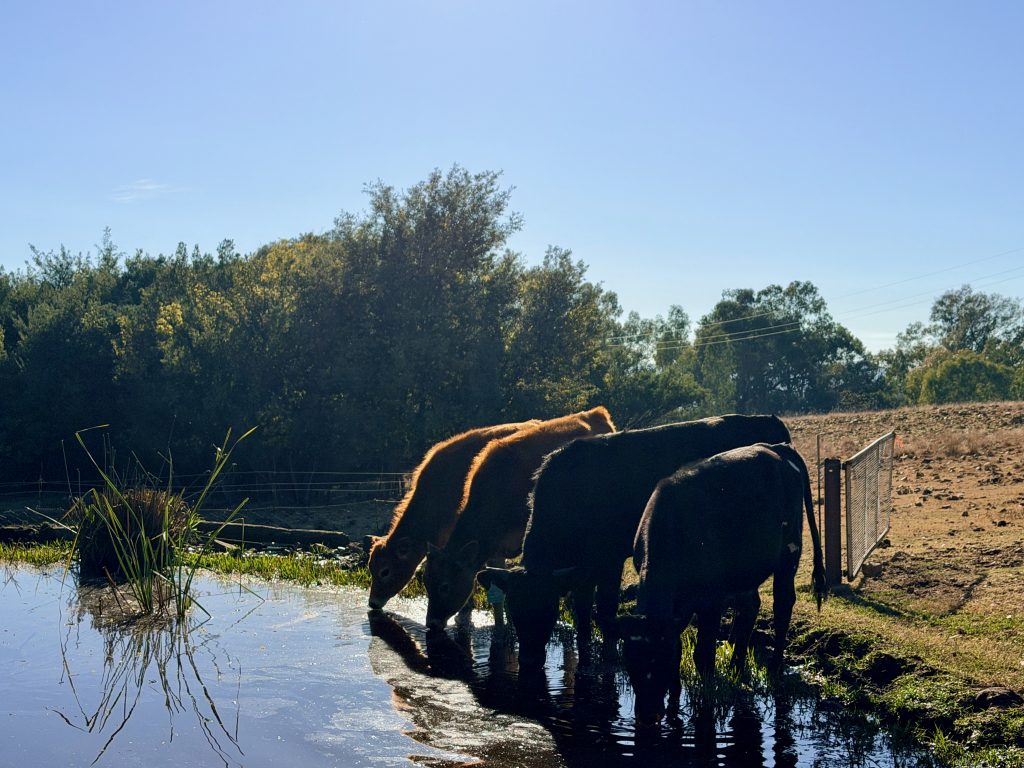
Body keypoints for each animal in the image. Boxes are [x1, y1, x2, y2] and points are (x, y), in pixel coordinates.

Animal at [476, 414, 792, 669]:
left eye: (547, 609)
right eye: (515, 609)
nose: (528, 660)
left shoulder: (609, 559)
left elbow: (604, 608)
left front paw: (608, 657)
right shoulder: (582, 569)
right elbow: (583, 612)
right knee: (749, 604)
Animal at [620, 442, 827, 725]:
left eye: (660, 660)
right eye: (631, 663)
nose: (648, 714)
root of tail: (776, 448)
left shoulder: (711, 601)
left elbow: (702, 655)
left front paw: (705, 701)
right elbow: (681, 650)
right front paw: (675, 699)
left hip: (789, 555)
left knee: (782, 607)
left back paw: (774, 667)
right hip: (747, 571)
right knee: (750, 607)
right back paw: (736, 666)